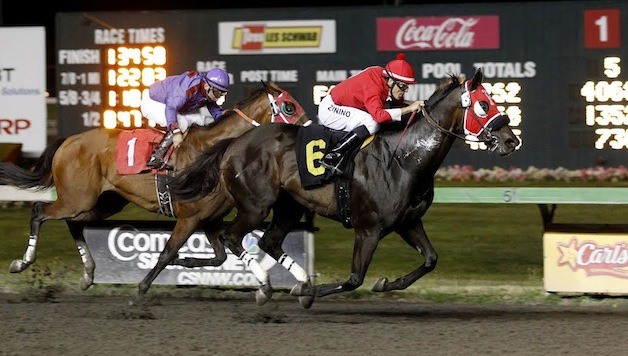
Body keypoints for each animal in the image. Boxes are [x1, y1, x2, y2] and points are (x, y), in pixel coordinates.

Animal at [0, 81, 310, 292]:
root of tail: (68, 140)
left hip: (103, 203)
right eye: (289, 106)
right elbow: (167, 253)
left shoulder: (209, 218)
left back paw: (88, 274)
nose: (307, 130)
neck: (212, 150)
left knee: (75, 223)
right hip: (76, 198)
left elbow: (219, 256)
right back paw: (22, 262)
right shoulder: (189, 217)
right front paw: (143, 288)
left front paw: (186, 264)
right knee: (39, 211)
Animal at [169, 69, 524, 306]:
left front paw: (385, 283)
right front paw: (308, 293)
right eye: (483, 104)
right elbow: (354, 279)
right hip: (256, 205)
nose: (511, 140)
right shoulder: (368, 228)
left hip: (290, 205)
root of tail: (233, 142)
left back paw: (290, 279)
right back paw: (268, 286)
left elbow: (430, 260)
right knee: (232, 236)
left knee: (268, 241)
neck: (403, 160)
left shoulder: (408, 222)